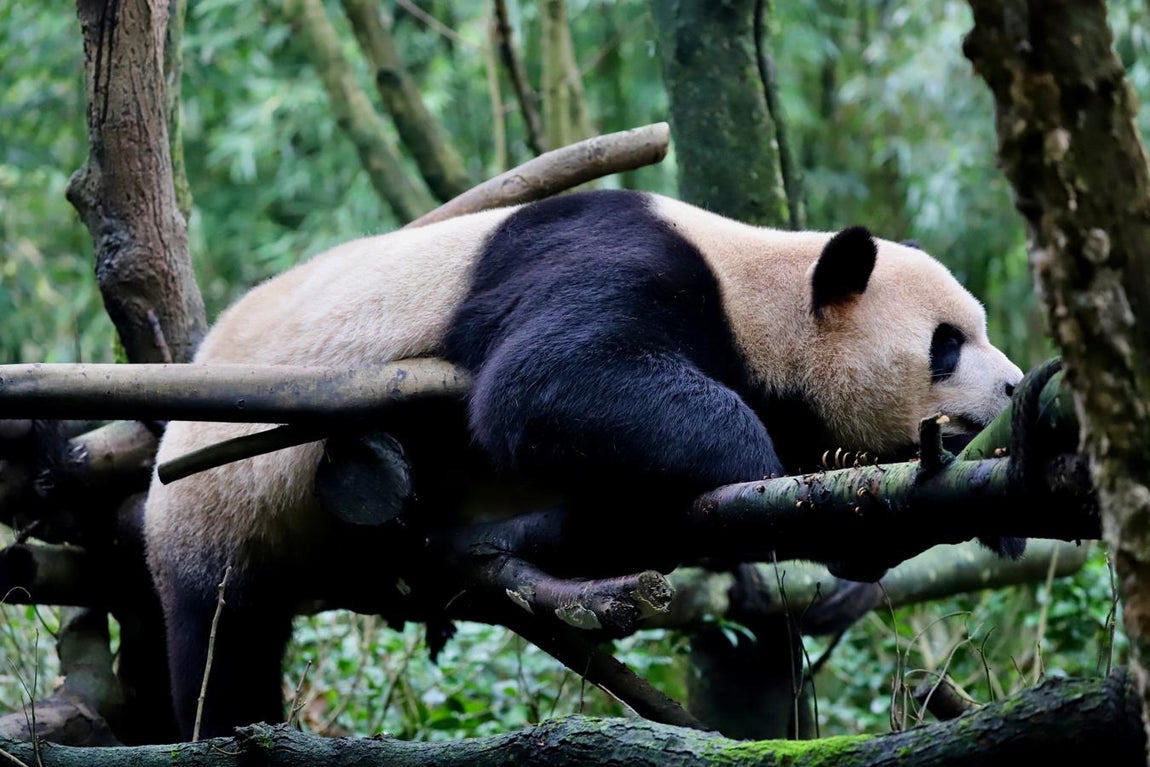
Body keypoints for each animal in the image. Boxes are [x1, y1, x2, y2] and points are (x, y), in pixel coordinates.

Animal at [143, 188, 1024, 739]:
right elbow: (550, 380)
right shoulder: (618, 263)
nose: (1017, 385)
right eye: (947, 343)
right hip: (220, 503)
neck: (755, 289)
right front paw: (751, 470)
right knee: (222, 640)